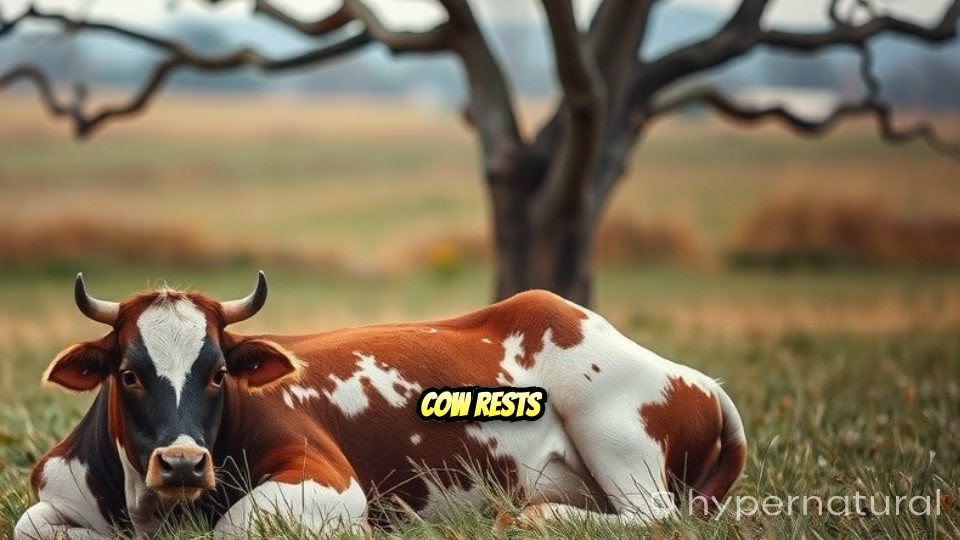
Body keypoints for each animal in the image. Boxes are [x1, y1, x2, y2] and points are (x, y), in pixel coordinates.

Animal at [15, 272, 746, 538]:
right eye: (128, 375)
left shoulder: (331, 483)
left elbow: (234, 526)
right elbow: (30, 526)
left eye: (218, 373)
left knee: (657, 518)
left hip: (613, 428)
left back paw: (530, 515)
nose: (184, 464)